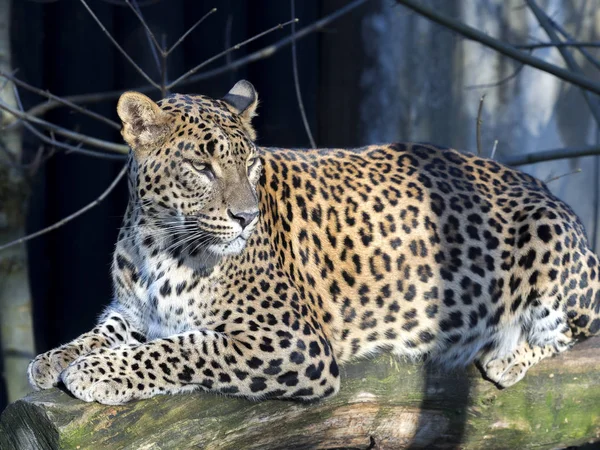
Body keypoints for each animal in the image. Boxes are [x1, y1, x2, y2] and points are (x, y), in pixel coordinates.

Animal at [27, 80, 600, 404]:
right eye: (201, 167)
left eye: (250, 165)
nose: (246, 218)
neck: (158, 242)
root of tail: (549, 191)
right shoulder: (132, 309)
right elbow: (104, 331)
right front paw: (53, 359)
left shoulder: (291, 341)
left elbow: (180, 348)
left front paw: (94, 373)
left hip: (549, 241)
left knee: (572, 330)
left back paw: (506, 354)